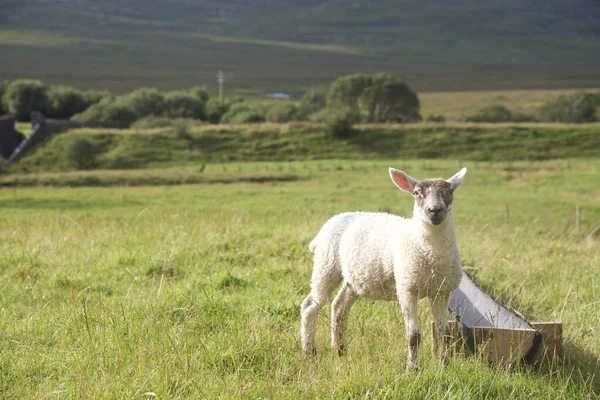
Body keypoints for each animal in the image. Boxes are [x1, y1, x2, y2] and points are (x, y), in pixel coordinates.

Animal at [302, 166, 466, 368]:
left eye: (450, 192)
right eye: (416, 193)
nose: (434, 210)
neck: (430, 252)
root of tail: (334, 218)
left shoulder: (442, 291)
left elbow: (441, 332)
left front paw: (441, 364)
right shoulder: (407, 288)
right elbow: (414, 336)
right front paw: (412, 368)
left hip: (355, 279)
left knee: (339, 306)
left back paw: (339, 351)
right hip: (326, 265)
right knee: (310, 306)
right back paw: (309, 352)